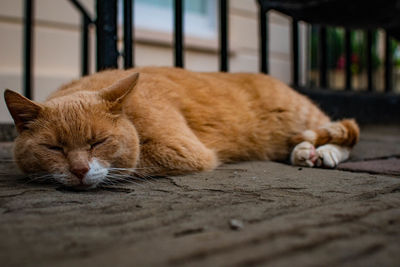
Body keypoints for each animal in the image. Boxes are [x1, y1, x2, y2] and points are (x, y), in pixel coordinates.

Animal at [3, 66, 360, 188]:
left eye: (97, 142)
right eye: (54, 148)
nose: (78, 170)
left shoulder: (183, 149)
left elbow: (132, 163)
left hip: (301, 117)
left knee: (346, 131)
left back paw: (324, 152)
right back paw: (304, 151)